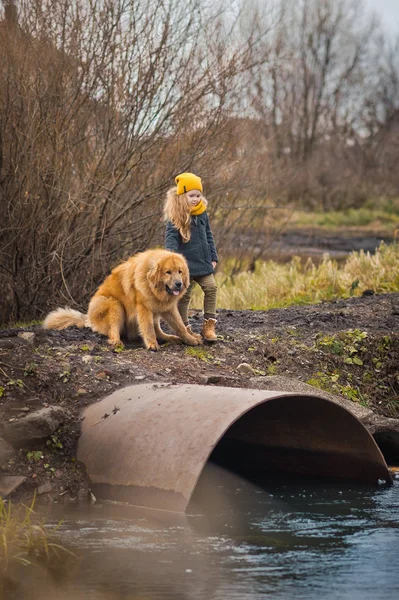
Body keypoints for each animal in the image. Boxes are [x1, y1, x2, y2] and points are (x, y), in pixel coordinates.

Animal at [43, 250, 203, 352]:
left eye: (180, 272)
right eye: (168, 272)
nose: (178, 284)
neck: (154, 288)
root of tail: (88, 317)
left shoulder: (168, 308)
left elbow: (180, 326)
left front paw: (190, 339)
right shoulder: (144, 308)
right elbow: (148, 328)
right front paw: (151, 344)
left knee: (159, 330)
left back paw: (170, 338)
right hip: (114, 305)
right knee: (113, 331)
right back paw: (117, 341)